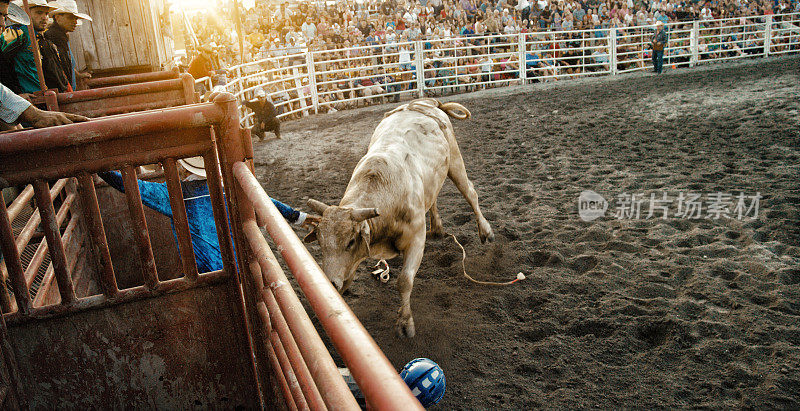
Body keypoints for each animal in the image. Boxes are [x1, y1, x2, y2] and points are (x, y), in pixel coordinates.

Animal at [306, 100, 494, 338]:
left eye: (350, 241)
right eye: (321, 243)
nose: (329, 283)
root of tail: (427, 103)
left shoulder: (416, 240)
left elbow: (404, 281)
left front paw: (405, 323)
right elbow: (347, 278)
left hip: (455, 159)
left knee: (470, 192)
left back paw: (485, 231)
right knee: (433, 197)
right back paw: (438, 228)